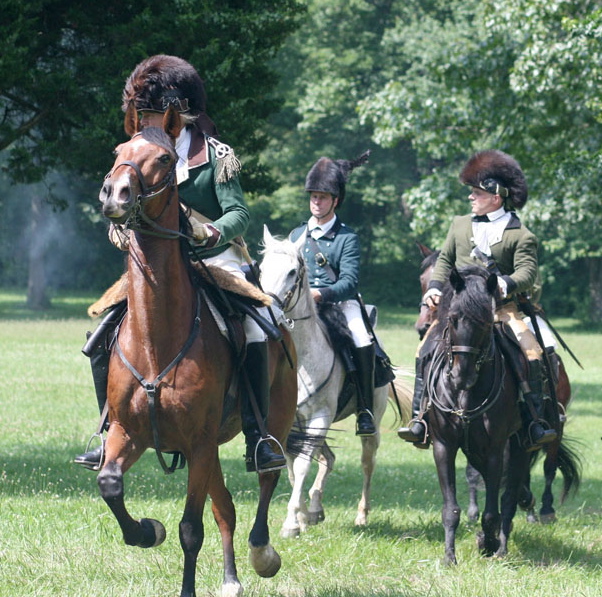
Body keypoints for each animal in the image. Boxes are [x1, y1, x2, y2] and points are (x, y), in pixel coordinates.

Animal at [259, 226, 410, 538]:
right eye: (262, 268)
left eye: (292, 271)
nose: (269, 311)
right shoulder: (292, 424)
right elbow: (292, 468)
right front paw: (302, 515)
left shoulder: (319, 417)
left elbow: (302, 466)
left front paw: (292, 522)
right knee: (328, 458)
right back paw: (315, 508)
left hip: (369, 423)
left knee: (367, 463)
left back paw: (361, 515)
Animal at [415, 243, 580, 524]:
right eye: (422, 280)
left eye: (484, 321)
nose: (423, 326)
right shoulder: (456, 441)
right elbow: (474, 476)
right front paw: (474, 511)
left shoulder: (497, 441)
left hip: (554, 422)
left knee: (548, 464)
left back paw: (545, 509)